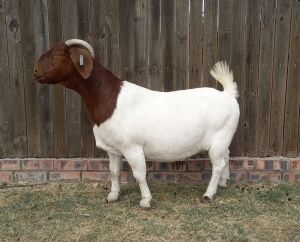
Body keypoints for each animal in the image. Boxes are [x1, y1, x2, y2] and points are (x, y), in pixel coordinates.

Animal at [33, 38, 239, 207]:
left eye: (57, 54)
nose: (35, 71)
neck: (109, 99)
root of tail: (227, 94)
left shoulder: (132, 147)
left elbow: (139, 174)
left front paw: (146, 200)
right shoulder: (113, 149)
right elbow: (114, 172)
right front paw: (113, 196)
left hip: (219, 139)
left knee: (218, 164)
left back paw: (208, 194)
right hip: (224, 141)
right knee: (226, 156)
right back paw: (223, 183)